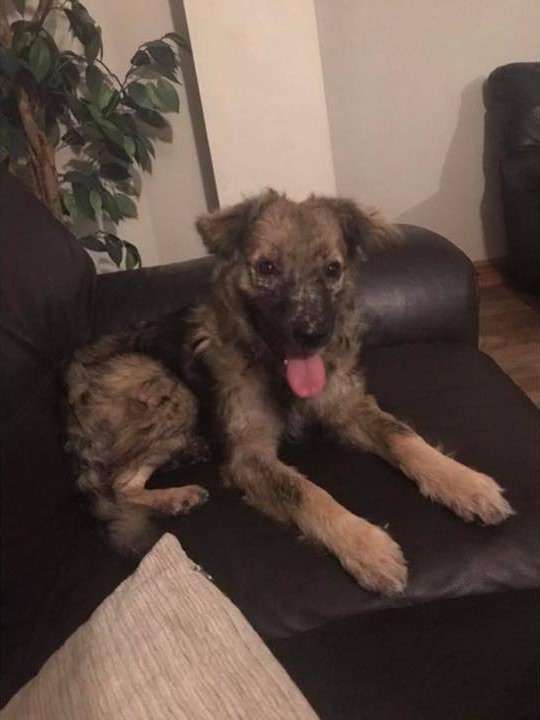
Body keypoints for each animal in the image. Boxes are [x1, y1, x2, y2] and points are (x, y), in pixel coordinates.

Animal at [64, 188, 516, 592]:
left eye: (332, 269)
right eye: (266, 267)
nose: (312, 334)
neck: (273, 366)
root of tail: (70, 380)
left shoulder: (346, 406)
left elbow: (404, 437)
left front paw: (464, 483)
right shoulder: (250, 456)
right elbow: (306, 492)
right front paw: (365, 546)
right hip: (168, 389)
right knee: (117, 484)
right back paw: (178, 495)